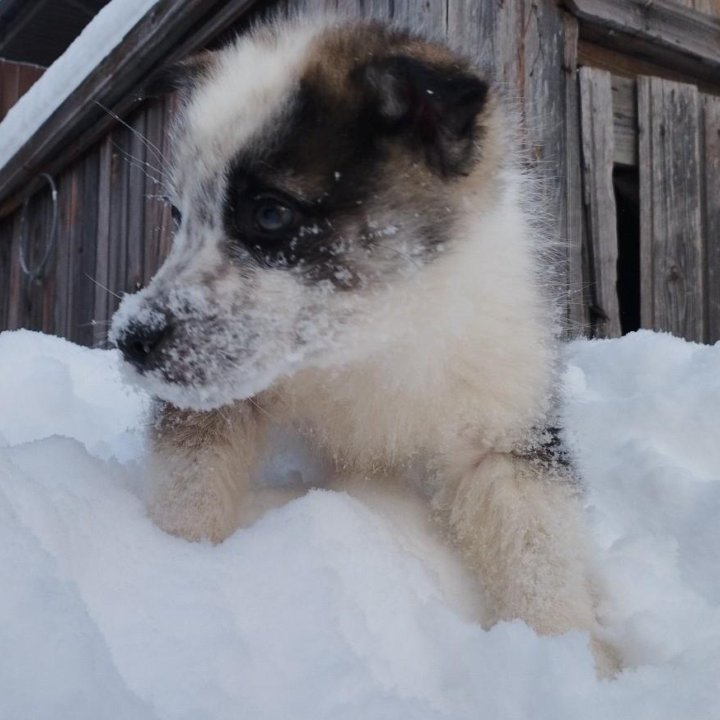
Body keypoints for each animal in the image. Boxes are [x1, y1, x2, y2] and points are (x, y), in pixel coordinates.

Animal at [109, 15, 612, 668]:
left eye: (270, 214)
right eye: (177, 215)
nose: (130, 340)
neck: (369, 338)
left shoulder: (505, 424)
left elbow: (539, 551)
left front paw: (573, 657)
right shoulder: (218, 393)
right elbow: (190, 489)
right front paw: (181, 567)